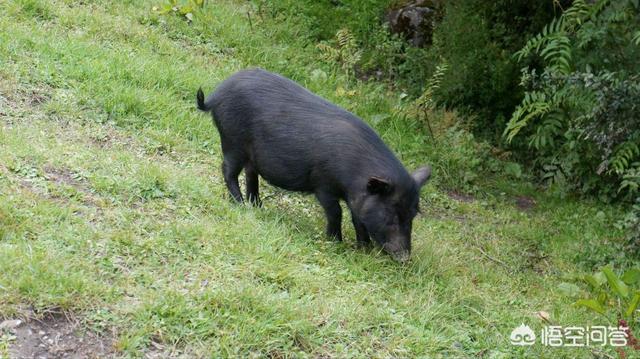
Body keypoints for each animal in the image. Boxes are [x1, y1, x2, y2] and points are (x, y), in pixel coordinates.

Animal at [198, 69, 432, 262]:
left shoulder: (357, 198)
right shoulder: (323, 184)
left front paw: (363, 249)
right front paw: (336, 242)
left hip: (249, 154)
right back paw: (239, 204)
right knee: (227, 170)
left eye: (412, 216)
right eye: (390, 216)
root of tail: (215, 95)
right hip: (232, 141)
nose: (404, 258)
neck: (353, 177)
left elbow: (358, 219)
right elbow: (336, 212)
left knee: (250, 174)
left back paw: (257, 206)